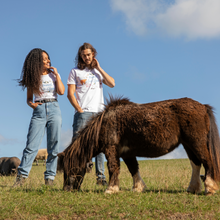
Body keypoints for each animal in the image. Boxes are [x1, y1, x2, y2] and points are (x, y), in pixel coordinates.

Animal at [57, 96, 220, 194]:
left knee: (207, 162)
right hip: (188, 144)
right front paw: (137, 188)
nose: (67, 189)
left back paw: (210, 188)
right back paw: (192, 188)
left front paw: (111, 189)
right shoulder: (127, 153)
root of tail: (203, 106)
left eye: (73, 168)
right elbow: (133, 169)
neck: (105, 123)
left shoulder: (111, 150)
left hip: (196, 142)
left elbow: (113, 168)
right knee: (196, 164)